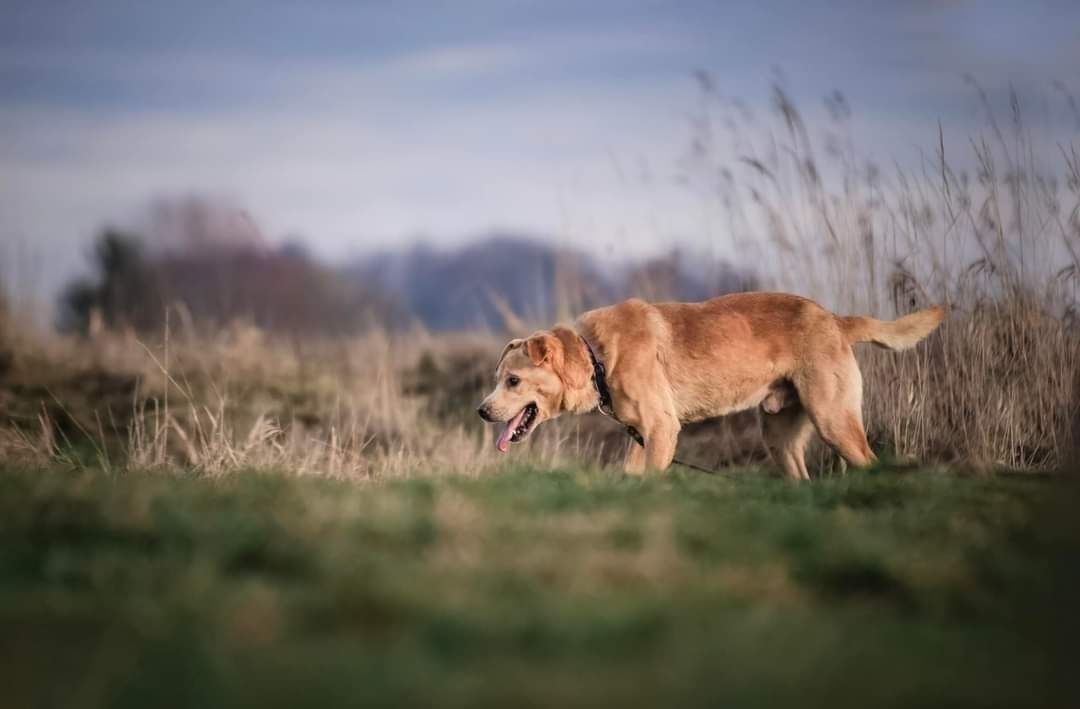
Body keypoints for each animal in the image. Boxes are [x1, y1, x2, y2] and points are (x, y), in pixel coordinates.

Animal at [477, 291, 941, 479]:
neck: (597, 358)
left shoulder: (662, 430)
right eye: (498, 380)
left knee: (869, 461)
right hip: (780, 437)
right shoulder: (641, 436)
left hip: (834, 419)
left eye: (513, 380)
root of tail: (835, 319)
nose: (481, 411)